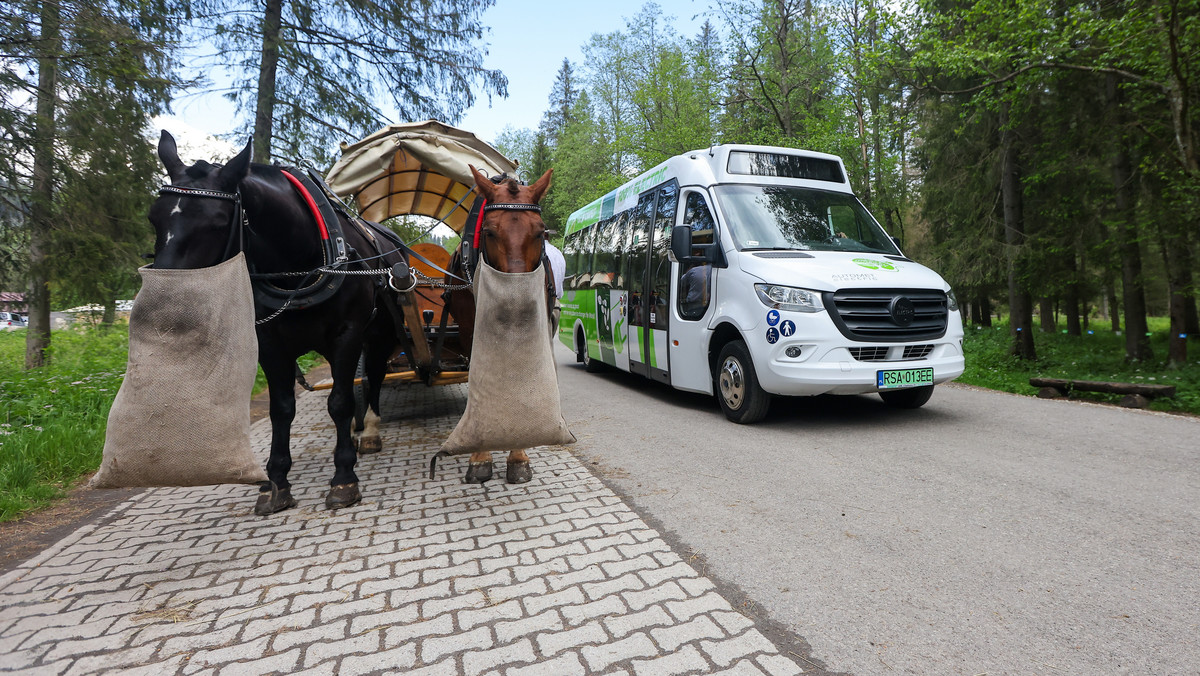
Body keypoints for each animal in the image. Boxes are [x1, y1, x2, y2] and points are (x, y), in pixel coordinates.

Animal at [448, 165, 554, 485]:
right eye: (489, 232)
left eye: (540, 231)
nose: (516, 304)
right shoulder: (471, 331)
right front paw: (480, 455)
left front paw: (518, 454)